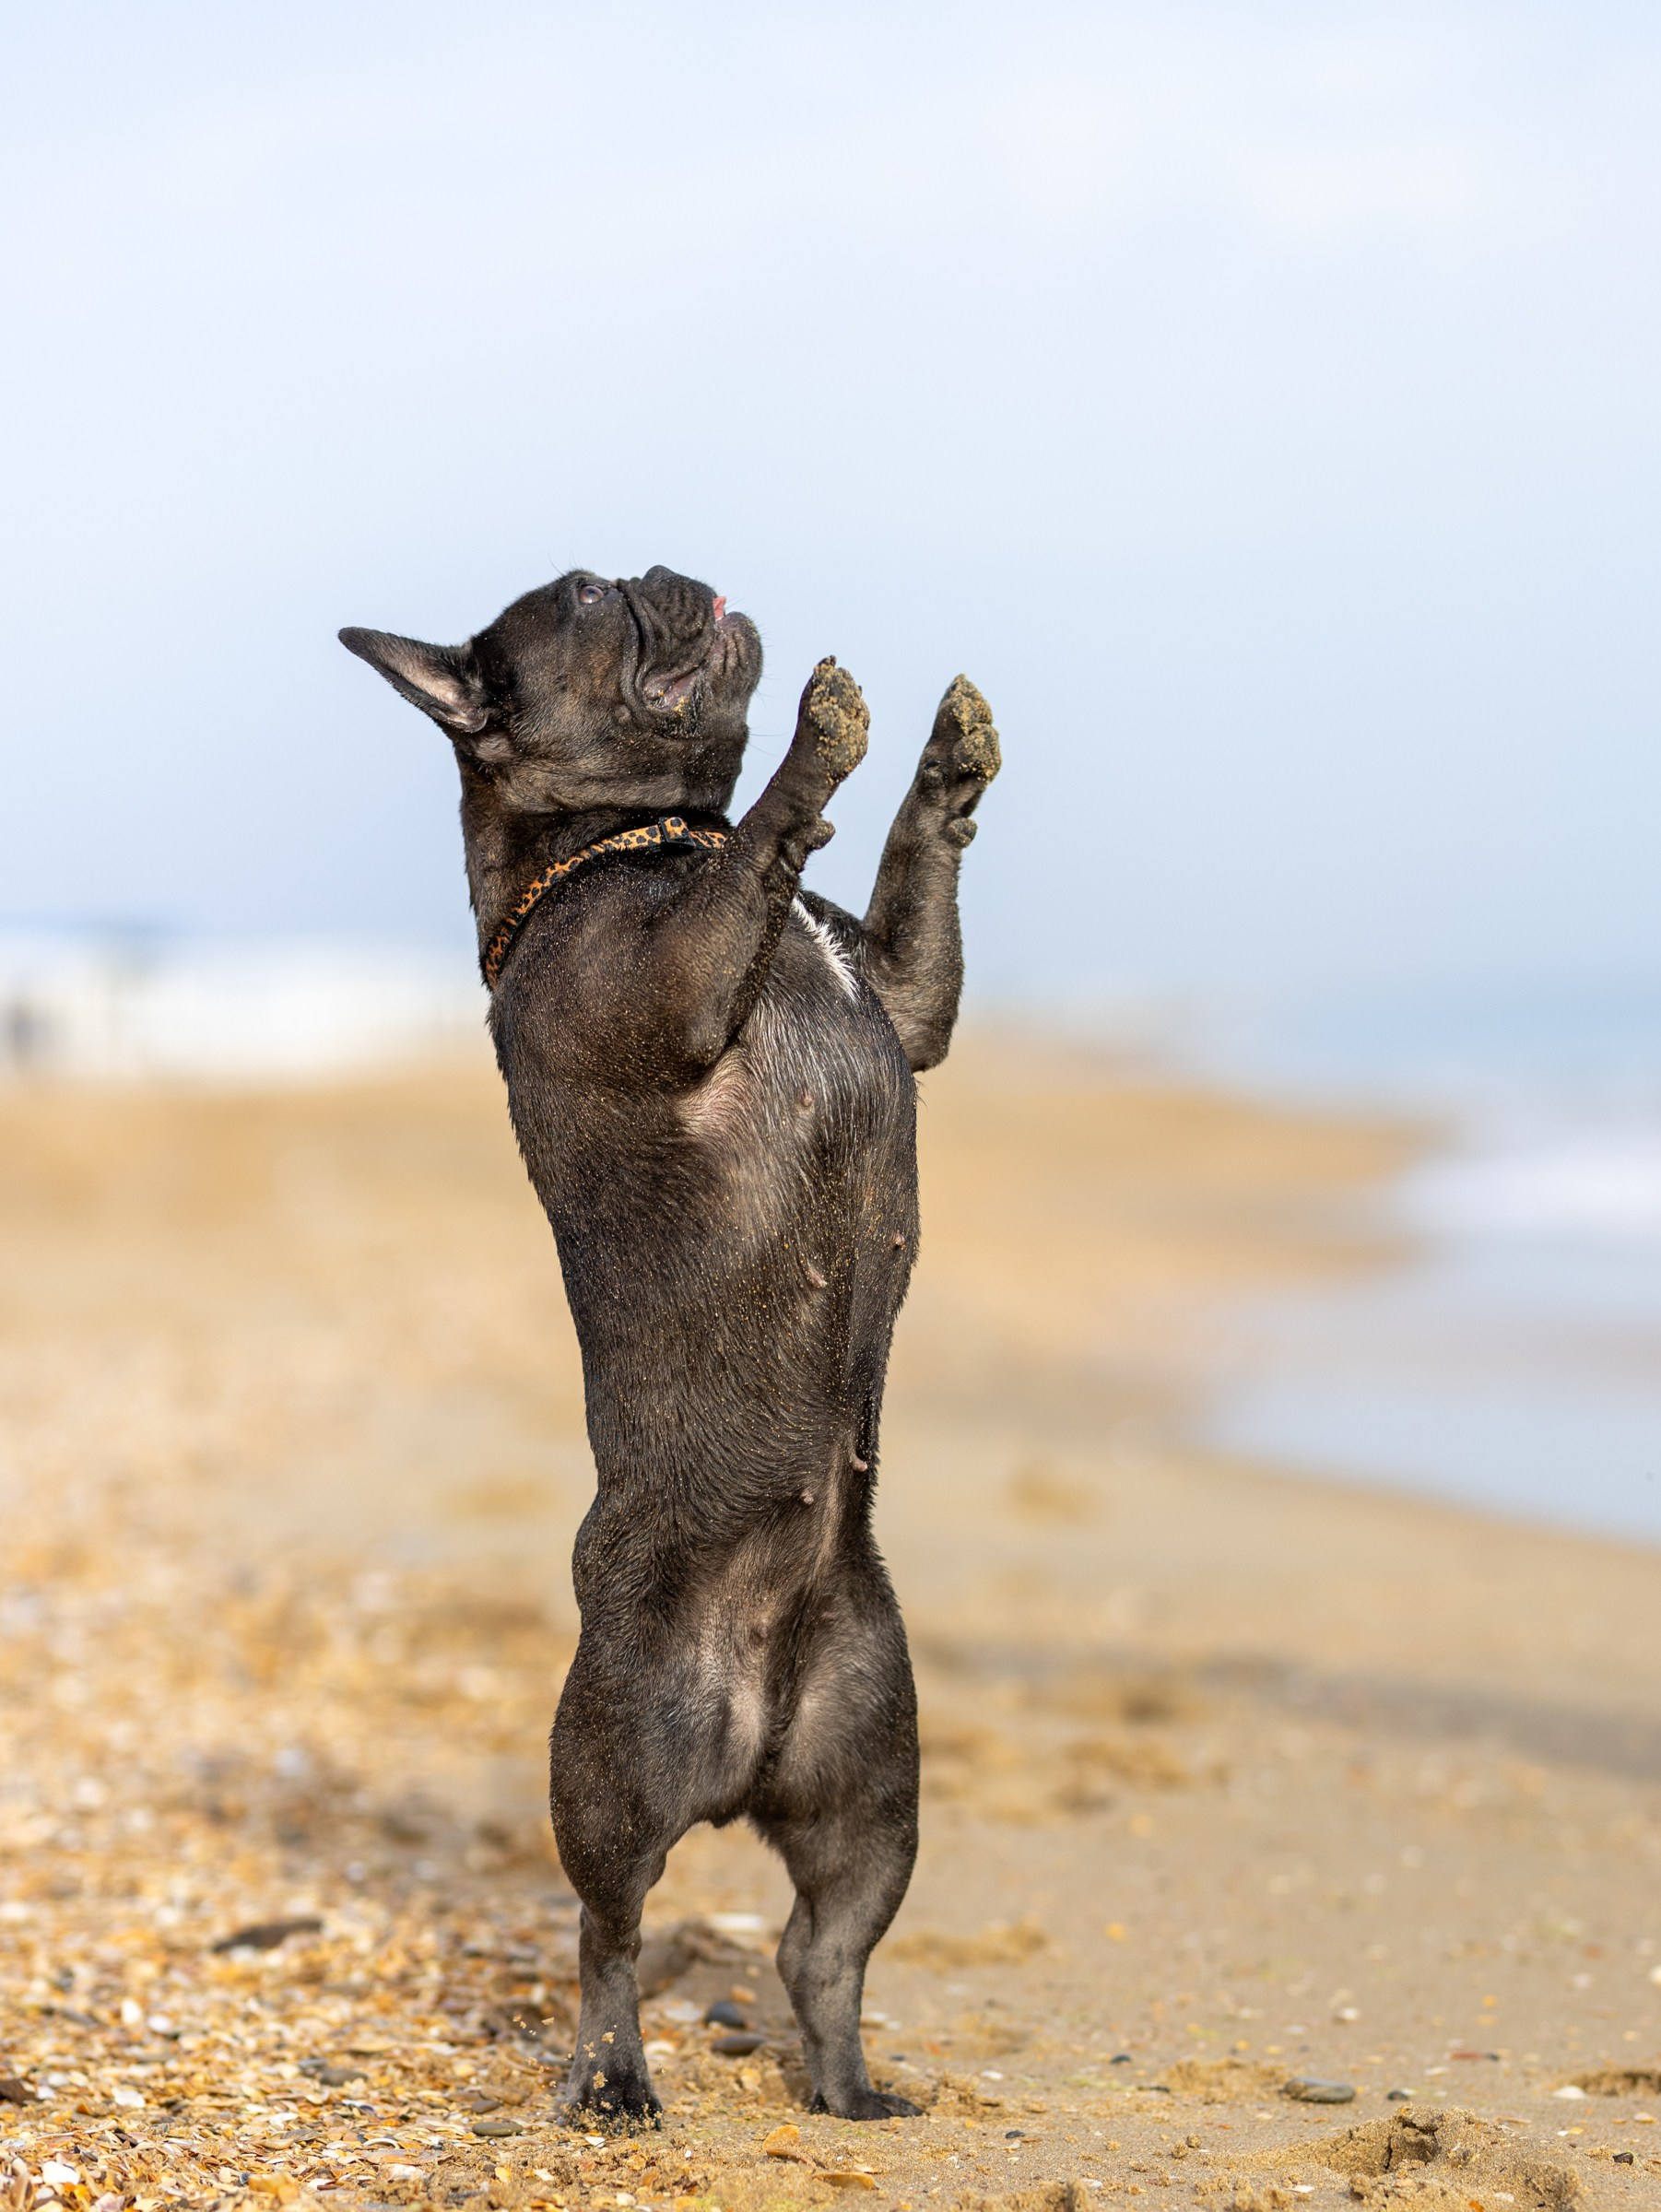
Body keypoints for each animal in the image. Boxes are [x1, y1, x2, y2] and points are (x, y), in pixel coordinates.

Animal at [341, 564, 999, 2122]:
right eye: (590, 598)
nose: (665, 577)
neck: (648, 838)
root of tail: (752, 1720)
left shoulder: (902, 994)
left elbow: (909, 888)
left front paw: (945, 767)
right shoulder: (679, 982)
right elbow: (764, 831)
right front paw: (812, 748)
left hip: (874, 1778)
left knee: (821, 1950)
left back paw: (850, 2090)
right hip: (615, 1757)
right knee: (609, 1928)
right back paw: (614, 2077)